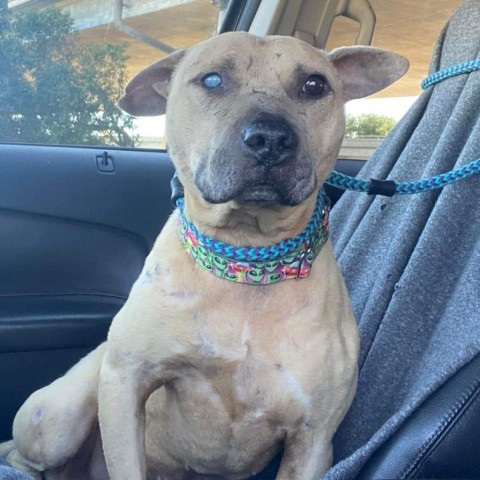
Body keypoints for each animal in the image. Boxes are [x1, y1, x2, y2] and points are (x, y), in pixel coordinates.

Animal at [0, 31, 408, 478]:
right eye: (212, 80)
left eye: (315, 85)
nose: (271, 138)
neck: (246, 261)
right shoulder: (125, 383)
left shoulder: (313, 439)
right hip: (62, 417)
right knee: (24, 453)